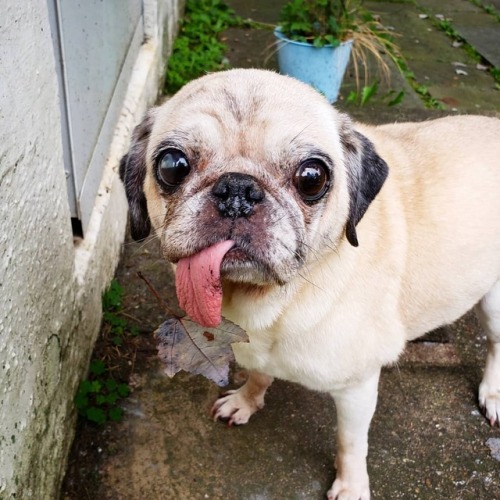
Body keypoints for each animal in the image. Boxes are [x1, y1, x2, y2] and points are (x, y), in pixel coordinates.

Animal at [120, 69, 500, 500]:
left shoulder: (357, 389)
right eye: (172, 166)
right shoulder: (256, 353)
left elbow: (350, 442)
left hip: (494, 306)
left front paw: (351, 485)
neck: (273, 301)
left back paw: (492, 393)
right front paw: (247, 401)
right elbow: (259, 375)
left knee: (495, 345)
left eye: (312, 178)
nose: (238, 189)